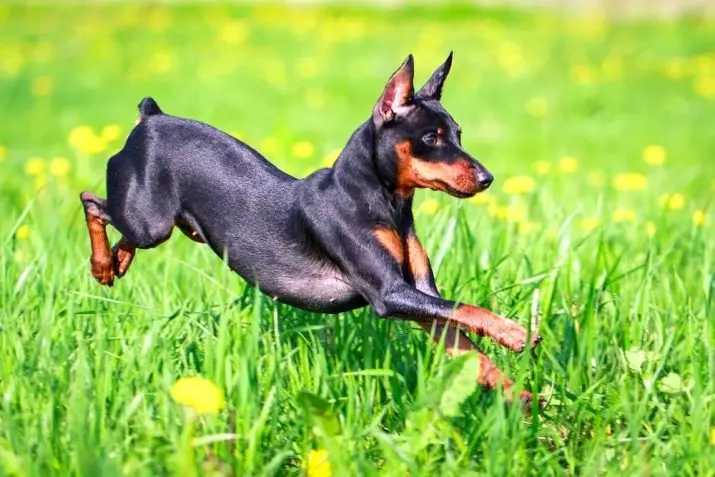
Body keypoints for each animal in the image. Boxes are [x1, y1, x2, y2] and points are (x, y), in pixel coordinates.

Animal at [81, 54, 544, 408]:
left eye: (460, 135)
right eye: (431, 137)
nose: (486, 178)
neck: (384, 204)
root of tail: (150, 118)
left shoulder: (422, 297)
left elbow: (470, 347)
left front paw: (522, 396)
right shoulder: (390, 294)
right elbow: (469, 309)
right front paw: (516, 332)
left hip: (163, 222)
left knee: (118, 223)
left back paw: (118, 261)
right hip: (151, 223)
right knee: (92, 201)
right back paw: (102, 264)